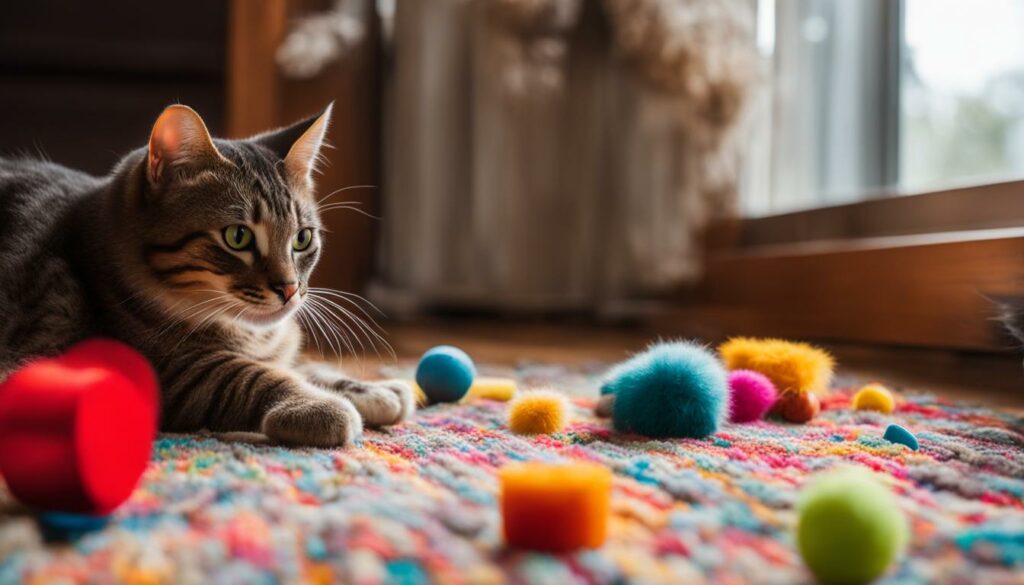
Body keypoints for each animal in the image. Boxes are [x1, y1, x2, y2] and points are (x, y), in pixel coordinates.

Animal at [1, 102, 415, 446]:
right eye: (238, 236)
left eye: (302, 239)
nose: (290, 289)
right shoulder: (167, 370)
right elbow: (247, 375)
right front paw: (317, 405)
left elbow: (299, 363)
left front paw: (370, 388)